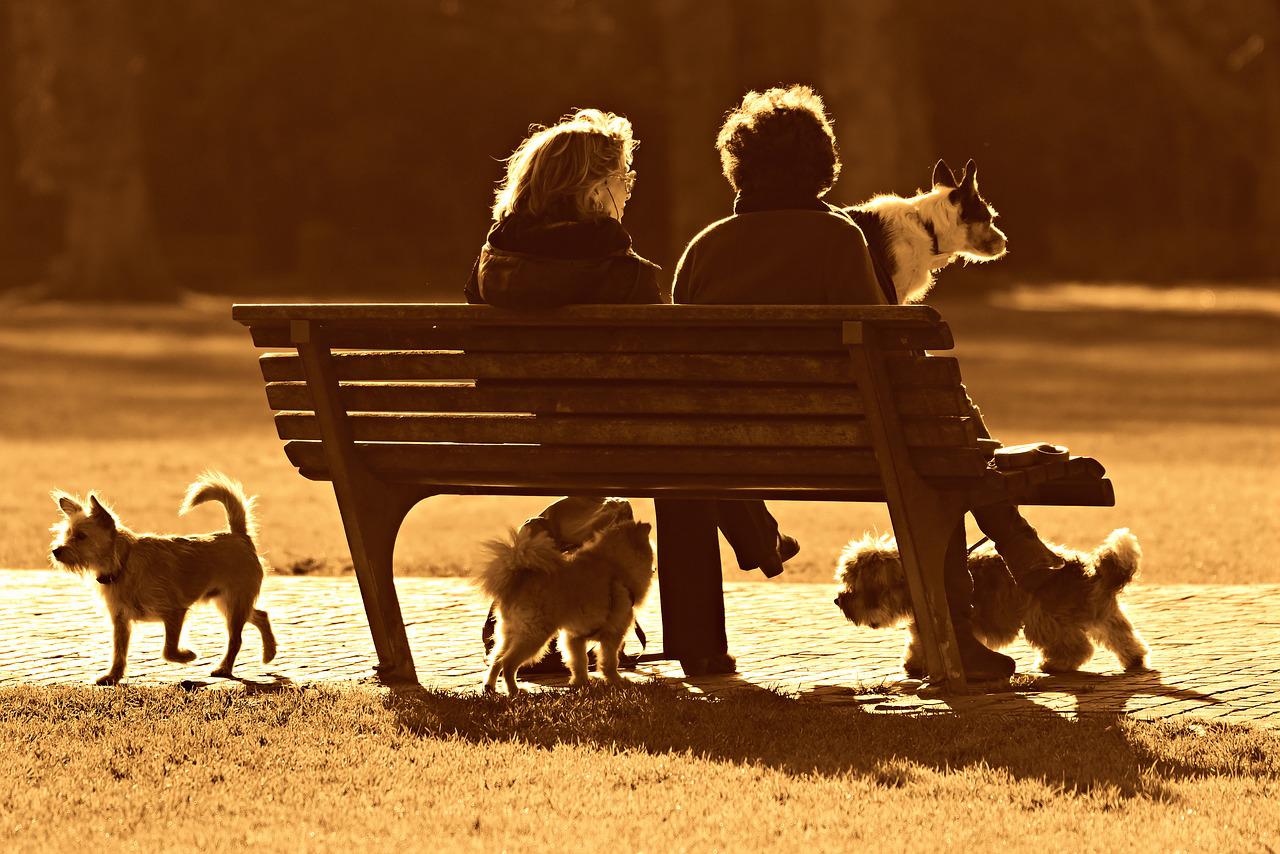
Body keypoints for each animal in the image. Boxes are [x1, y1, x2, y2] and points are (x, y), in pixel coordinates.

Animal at [49, 471, 275, 686]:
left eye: (81, 536)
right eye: (67, 534)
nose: (56, 551)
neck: (123, 563)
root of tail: (239, 536)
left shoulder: (174, 612)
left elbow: (168, 650)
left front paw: (187, 655)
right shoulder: (120, 620)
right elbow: (119, 652)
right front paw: (113, 676)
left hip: (234, 604)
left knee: (236, 639)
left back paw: (225, 668)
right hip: (227, 603)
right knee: (261, 615)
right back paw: (269, 652)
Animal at [481, 522, 655, 696]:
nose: (654, 569)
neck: (616, 566)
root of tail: (517, 579)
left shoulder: (574, 637)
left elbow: (579, 662)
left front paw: (581, 683)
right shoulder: (613, 633)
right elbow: (609, 661)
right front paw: (617, 681)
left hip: (510, 633)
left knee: (496, 659)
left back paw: (490, 687)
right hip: (534, 635)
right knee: (507, 663)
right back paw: (515, 691)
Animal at [829, 527, 1152, 676]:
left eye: (853, 584)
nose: (838, 599)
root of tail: (1090, 571)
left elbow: (921, 641)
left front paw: (916, 664)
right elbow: (918, 642)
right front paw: (915, 663)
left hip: (1042, 617)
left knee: (1078, 647)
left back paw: (1054, 663)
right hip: (1102, 613)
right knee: (1123, 636)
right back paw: (1134, 659)